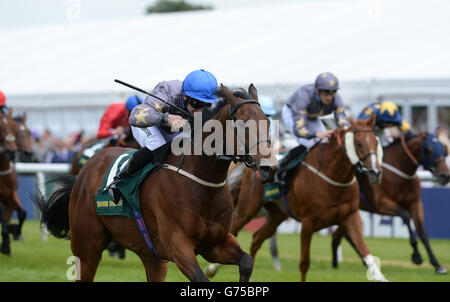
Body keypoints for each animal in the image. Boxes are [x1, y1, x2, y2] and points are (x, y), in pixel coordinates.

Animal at [36, 84, 278, 280]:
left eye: (267, 122)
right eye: (243, 124)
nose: (271, 168)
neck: (201, 184)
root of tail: (86, 169)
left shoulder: (214, 243)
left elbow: (246, 262)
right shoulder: (178, 246)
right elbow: (202, 278)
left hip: (151, 256)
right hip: (87, 247)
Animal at [330, 132, 450, 274]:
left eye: (444, 149)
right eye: (428, 150)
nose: (445, 176)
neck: (400, 173)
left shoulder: (415, 204)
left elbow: (422, 232)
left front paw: (437, 265)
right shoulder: (381, 204)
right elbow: (405, 216)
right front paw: (416, 256)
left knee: (341, 235)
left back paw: (340, 263)